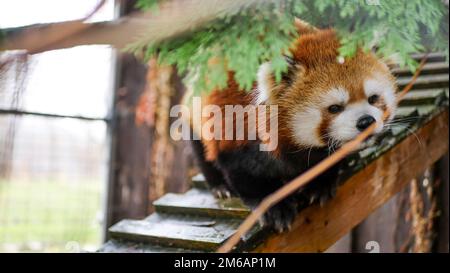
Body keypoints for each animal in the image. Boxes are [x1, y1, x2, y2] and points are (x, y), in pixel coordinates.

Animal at [189, 20, 398, 232]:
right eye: (334, 108)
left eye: (373, 98)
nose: (366, 121)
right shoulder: (233, 125)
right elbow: (243, 173)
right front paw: (274, 206)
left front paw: (319, 184)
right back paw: (220, 187)